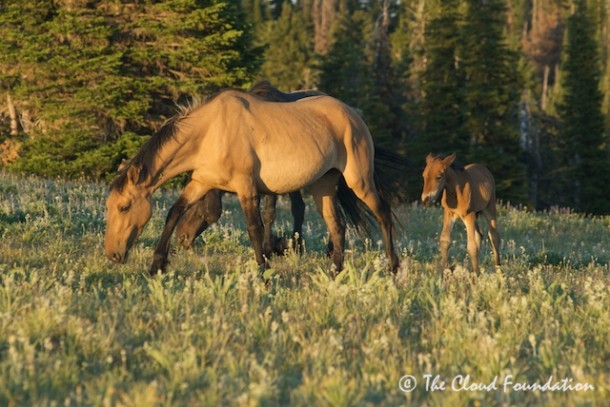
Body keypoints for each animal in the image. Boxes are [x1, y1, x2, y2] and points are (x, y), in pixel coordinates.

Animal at [104, 89, 400, 274]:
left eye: (124, 207)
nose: (113, 255)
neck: (211, 131)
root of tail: (354, 114)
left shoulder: (246, 187)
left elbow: (254, 228)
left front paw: (264, 270)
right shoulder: (200, 182)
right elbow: (174, 213)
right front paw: (156, 265)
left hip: (359, 180)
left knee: (383, 213)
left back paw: (393, 267)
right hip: (323, 186)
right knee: (337, 226)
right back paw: (335, 272)